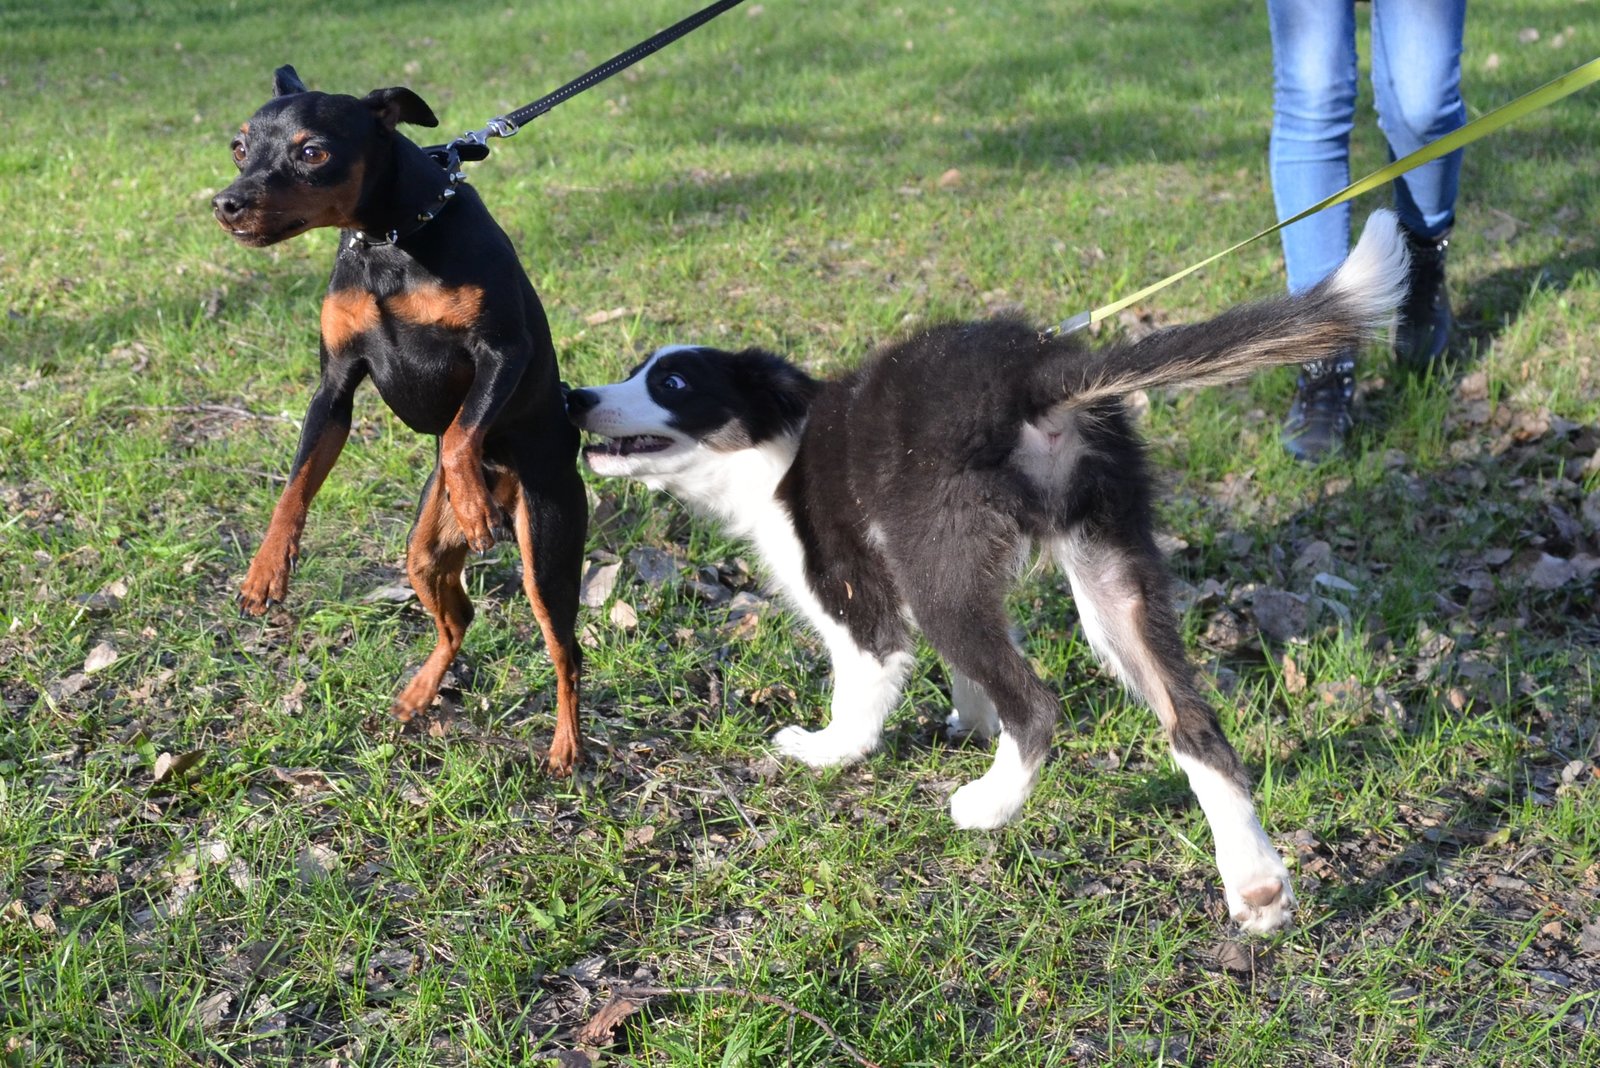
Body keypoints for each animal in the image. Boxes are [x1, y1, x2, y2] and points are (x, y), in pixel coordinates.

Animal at [214, 64, 588, 767]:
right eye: (238, 148)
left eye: (313, 152)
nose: (227, 203)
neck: (389, 241)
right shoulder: (333, 389)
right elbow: (296, 483)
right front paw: (267, 567)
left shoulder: (504, 351)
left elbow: (460, 431)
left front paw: (472, 502)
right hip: (423, 550)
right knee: (460, 618)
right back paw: (419, 693)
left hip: (546, 550)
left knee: (566, 652)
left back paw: (566, 747)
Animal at [569, 207, 1408, 927]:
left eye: (672, 383)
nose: (574, 395)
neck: (776, 439)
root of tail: (1032, 377)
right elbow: (967, 677)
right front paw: (969, 718)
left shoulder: (861, 600)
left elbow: (862, 691)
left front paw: (826, 751)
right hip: (1107, 568)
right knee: (1192, 721)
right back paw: (1257, 884)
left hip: (946, 564)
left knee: (1037, 704)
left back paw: (987, 805)